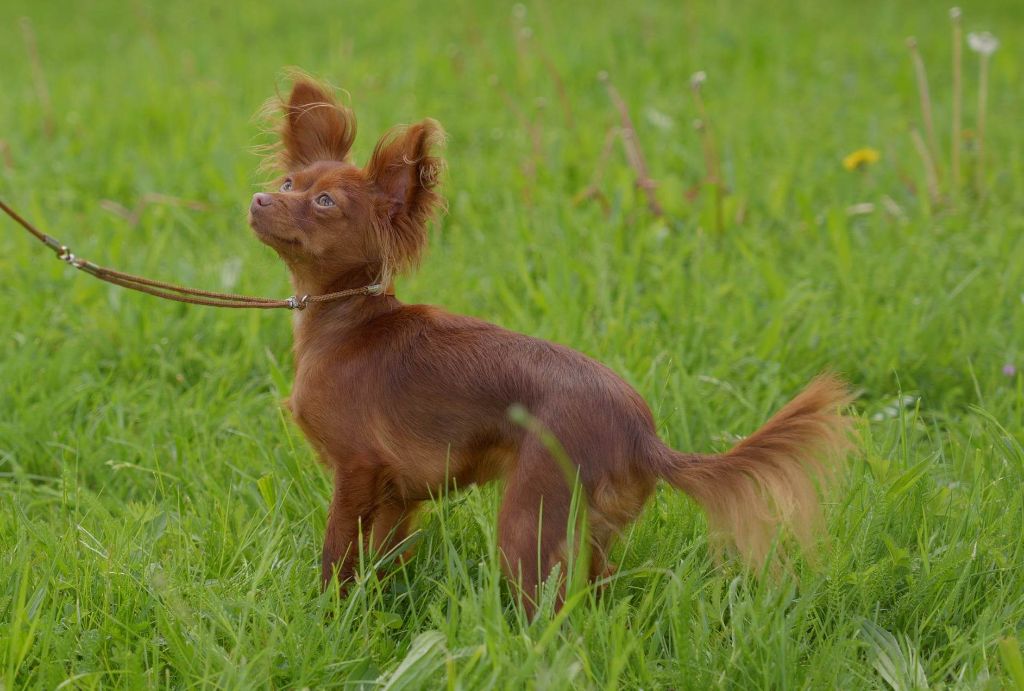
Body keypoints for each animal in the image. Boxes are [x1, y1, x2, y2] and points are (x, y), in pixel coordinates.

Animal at [249, 78, 856, 614]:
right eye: (288, 185)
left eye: (325, 202)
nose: (258, 200)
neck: (347, 323)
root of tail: (644, 439)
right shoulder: (395, 495)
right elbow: (380, 557)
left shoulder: (357, 472)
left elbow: (336, 557)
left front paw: (329, 618)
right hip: (584, 535)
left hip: (529, 524)